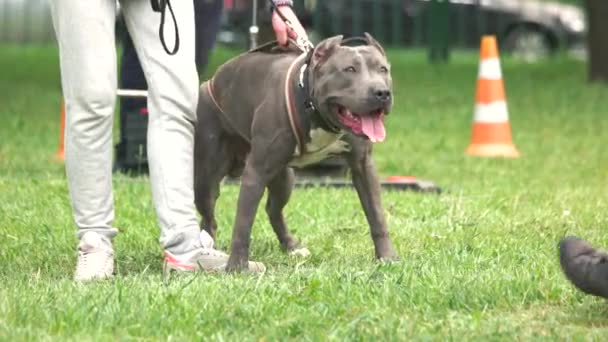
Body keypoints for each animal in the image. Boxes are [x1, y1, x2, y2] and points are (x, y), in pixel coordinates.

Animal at [192, 33, 400, 272]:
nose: (382, 92)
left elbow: (377, 215)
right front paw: (237, 267)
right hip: (206, 179)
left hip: (284, 179)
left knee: (273, 210)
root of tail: (209, 82)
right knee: (209, 218)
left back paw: (291, 246)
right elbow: (243, 223)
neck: (313, 108)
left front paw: (387, 257)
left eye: (383, 69)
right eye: (349, 69)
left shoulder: (363, 166)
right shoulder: (256, 171)